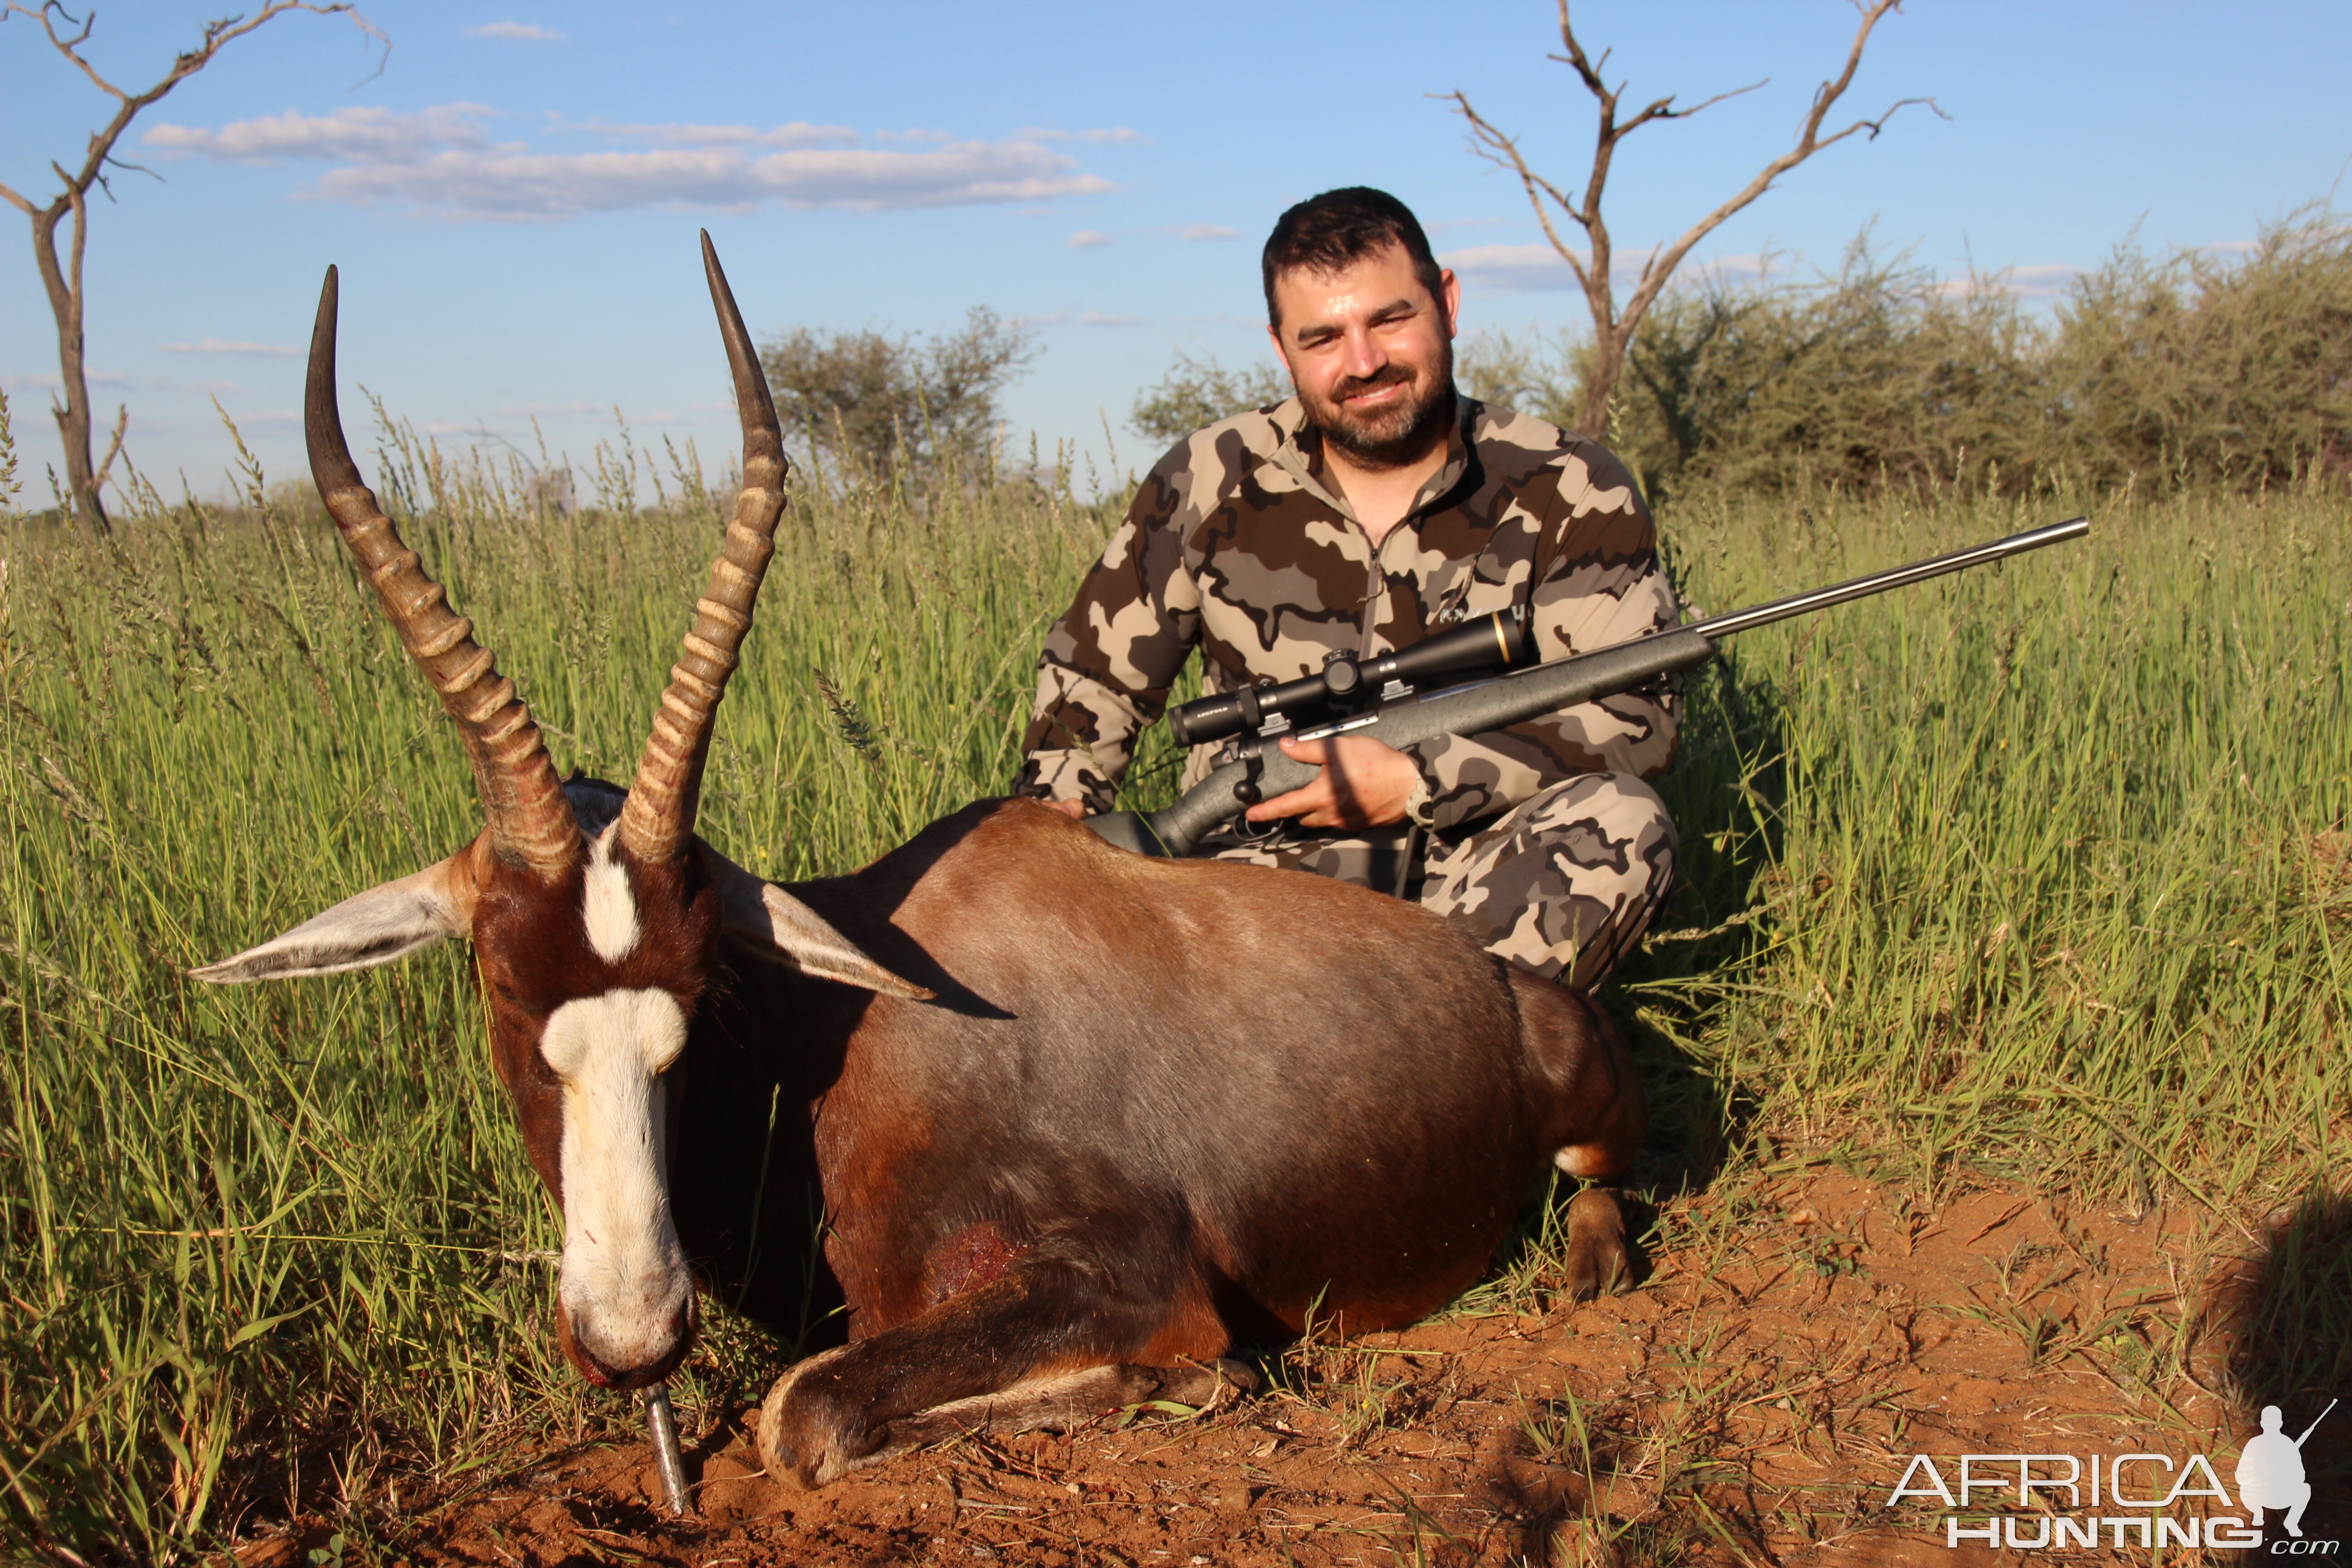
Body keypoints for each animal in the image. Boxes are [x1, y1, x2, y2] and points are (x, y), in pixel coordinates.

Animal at [193, 236, 1646, 1495]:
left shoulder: (1132, 1268)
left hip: (1580, 1107)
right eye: (502, 983)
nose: (632, 1337)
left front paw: (1204, 1377)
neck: (847, 1032)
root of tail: (1508, 988)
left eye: (703, 986)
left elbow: (805, 1407)